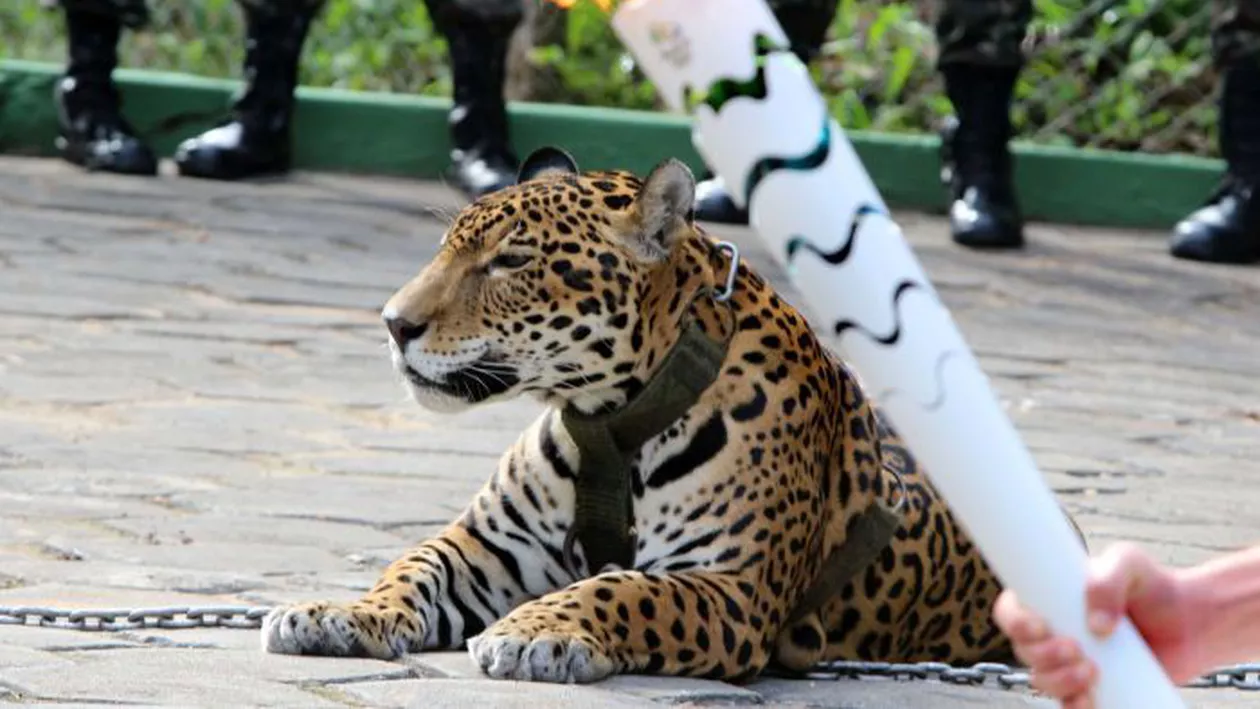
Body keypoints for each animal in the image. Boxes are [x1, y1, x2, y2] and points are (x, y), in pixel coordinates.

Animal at [262, 146, 1075, 684]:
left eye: (512, 263)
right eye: (446, 248)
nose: (394, 324)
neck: (607, 418)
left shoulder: (731, 587)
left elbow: (621, 587)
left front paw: (534, 628)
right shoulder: (490, 545)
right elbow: (412, 567)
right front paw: (340, 613)